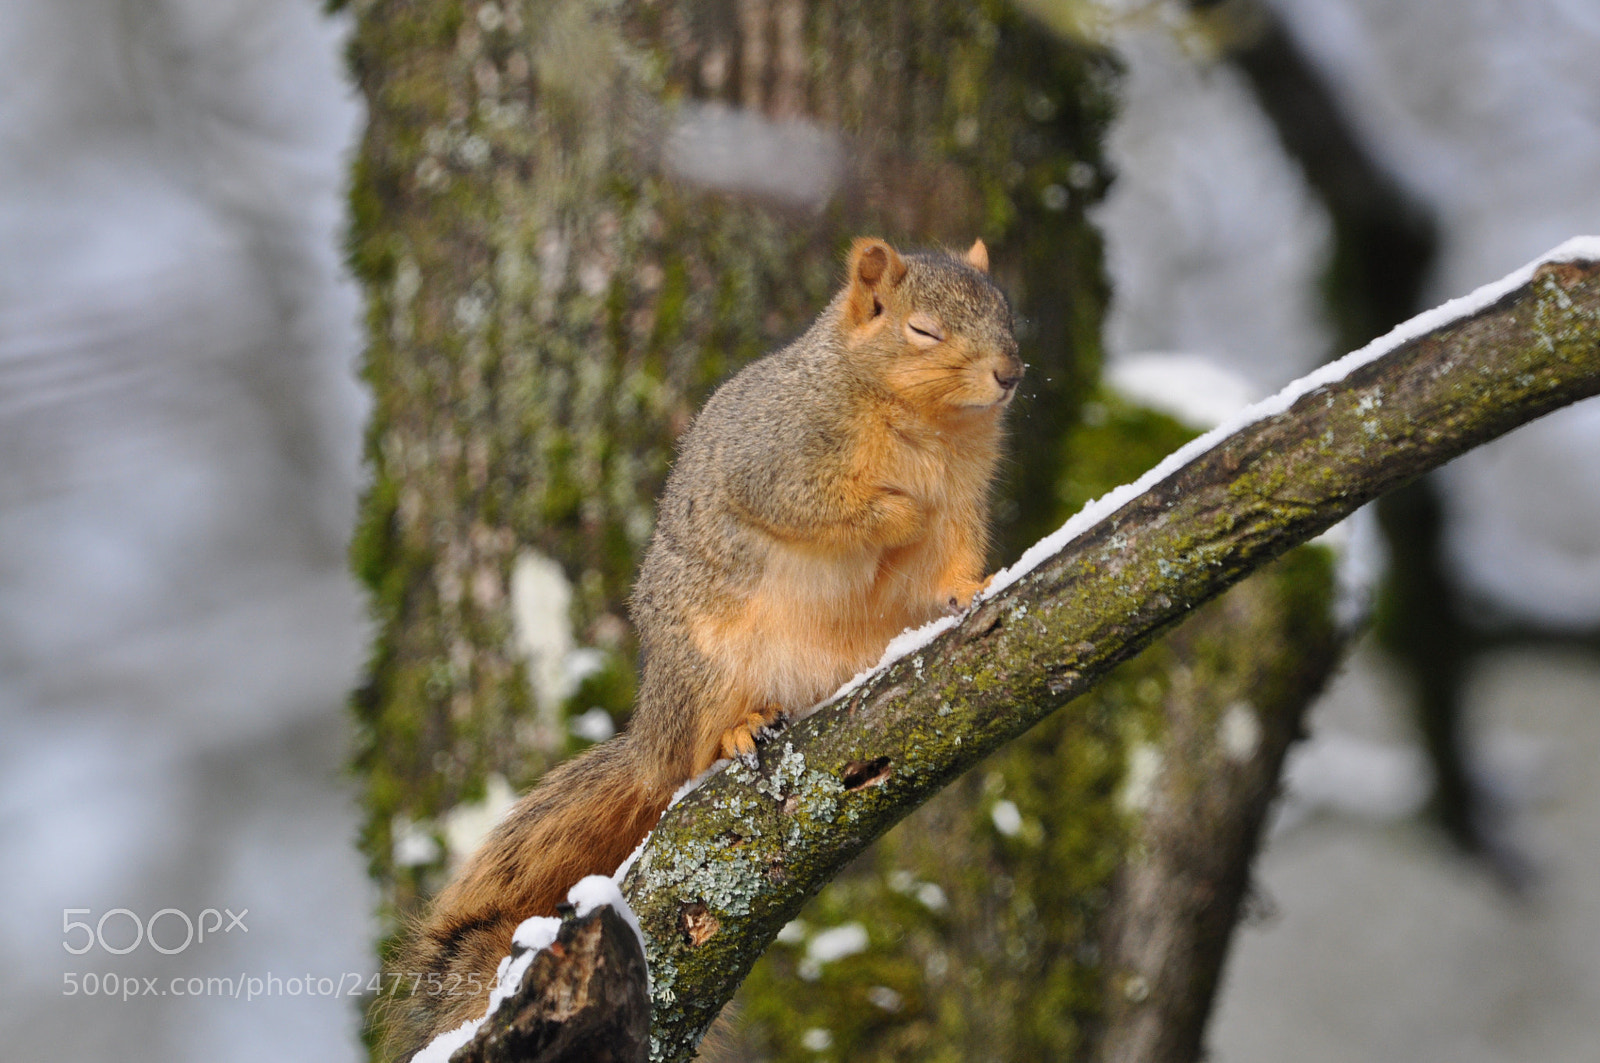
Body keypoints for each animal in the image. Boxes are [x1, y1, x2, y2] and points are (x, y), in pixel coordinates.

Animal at [383, 237, 1022, 1058]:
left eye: (1007, 312)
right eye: (922, 331)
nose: (1010, 373)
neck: (928, 422)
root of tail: (651, 737)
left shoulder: (965, 500)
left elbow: (951, 558)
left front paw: (969, 588)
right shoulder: (778, 457)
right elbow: (817, 506)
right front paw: (896, 510)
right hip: (710, 665)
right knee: (695, 752)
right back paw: (736, 731)